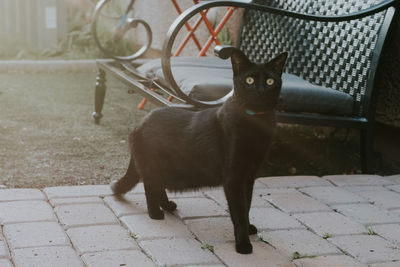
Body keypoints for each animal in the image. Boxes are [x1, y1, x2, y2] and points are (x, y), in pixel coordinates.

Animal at [111, 48, 286, 255]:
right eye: (249, 80)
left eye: (270, 81)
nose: (260, 90)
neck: (256, 122)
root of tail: (138, 126)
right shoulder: (234, 176)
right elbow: (239, 210)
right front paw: (243, 244)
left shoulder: (249, 175)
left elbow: (247, 205)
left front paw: (249, 228)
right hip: (153, 164)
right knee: (150, 185)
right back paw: (155, 212)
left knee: (158, 185)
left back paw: (167, 205)